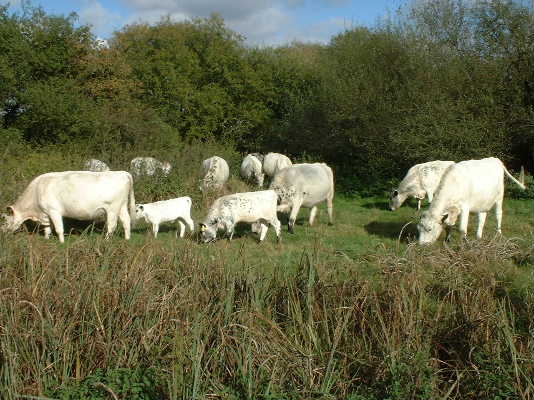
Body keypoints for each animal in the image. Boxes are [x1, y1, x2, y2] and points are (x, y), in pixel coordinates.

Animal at [2, 170, 136, 242]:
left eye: (5, 221)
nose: (2, 232)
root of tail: (121, 173)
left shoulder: (54, 211)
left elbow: (59, 228)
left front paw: (61, 242)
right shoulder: (46, 213)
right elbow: (47, 228)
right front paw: (46, 239)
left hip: (113, 208)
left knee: (112, 225)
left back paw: (106, 240)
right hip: (122, 206)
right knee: (126, 221)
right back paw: (127, 239)